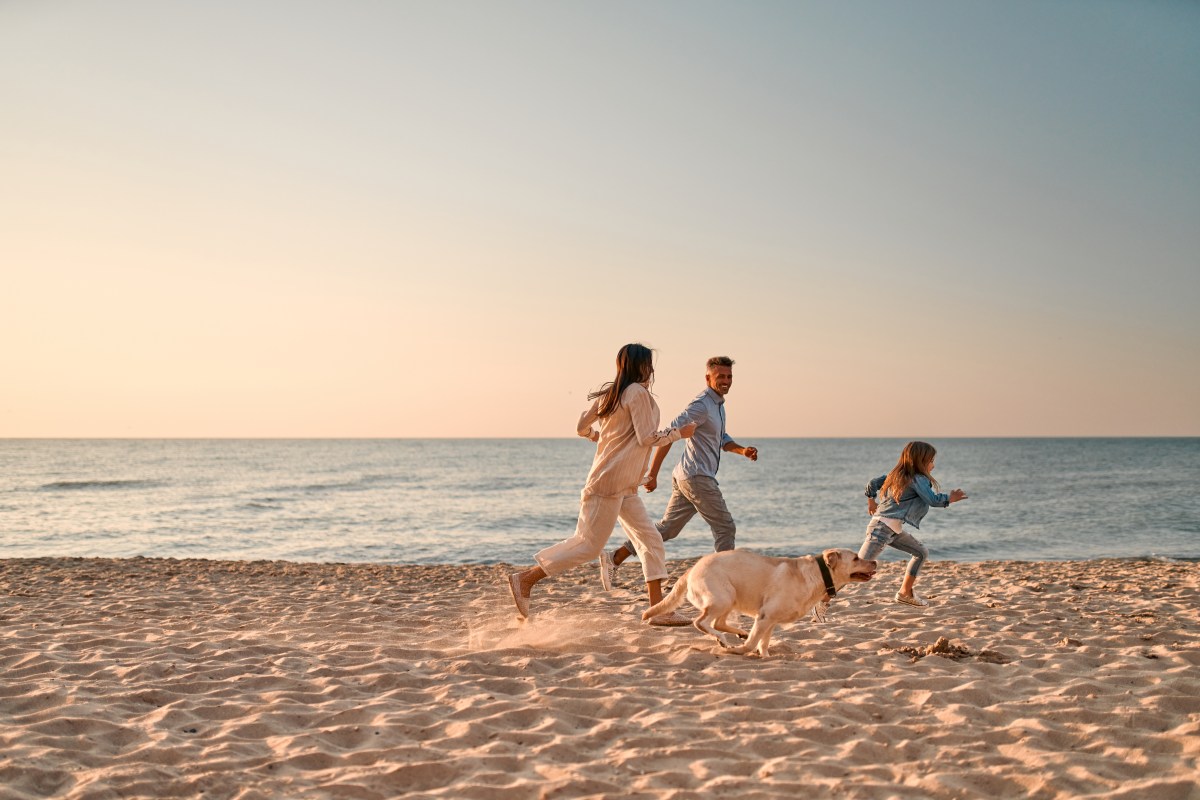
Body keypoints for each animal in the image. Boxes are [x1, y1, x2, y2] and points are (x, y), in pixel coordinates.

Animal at [643, 546, 878, 662]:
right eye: (856, 558)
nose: (875, 561)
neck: (819, 574)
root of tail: (693, 568)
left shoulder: (769, 620)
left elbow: (763, 642)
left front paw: (764, 655)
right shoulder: (766, 616)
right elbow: (752, 643)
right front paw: (739, 651)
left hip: (730, 599)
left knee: (717, 623)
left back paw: (738, 633)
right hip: (722, 597)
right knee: (700, 622)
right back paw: (723, 640)